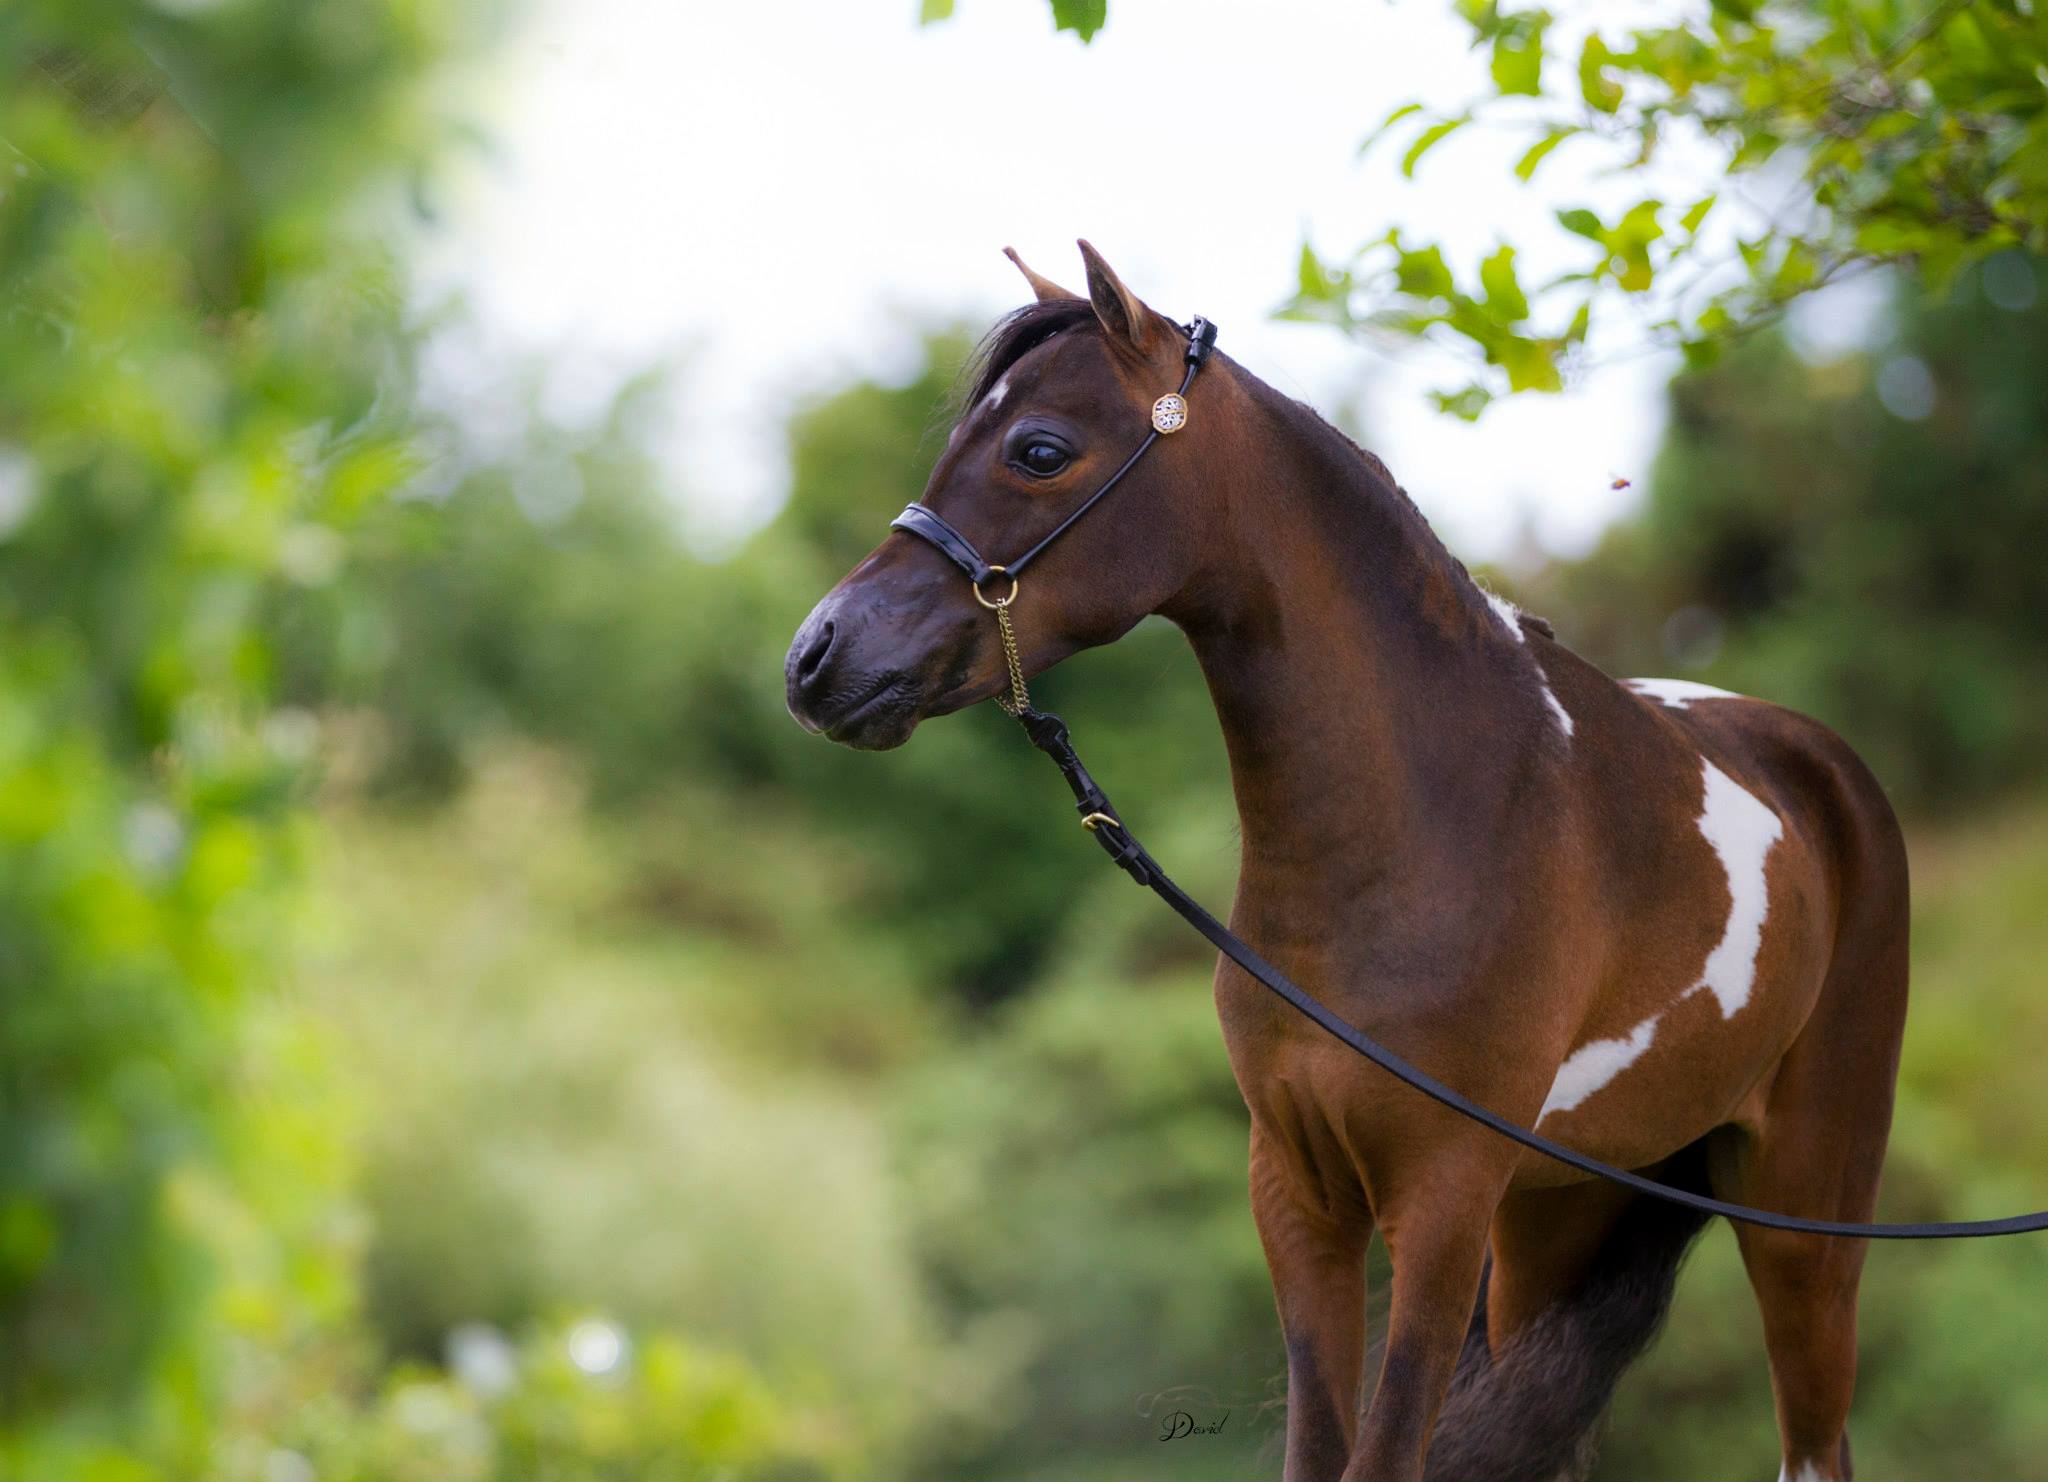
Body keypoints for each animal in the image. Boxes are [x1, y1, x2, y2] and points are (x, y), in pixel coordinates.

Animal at [783, 241, 1908, 1482]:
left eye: (1037, 449)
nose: (816, 658)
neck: (1425, 832)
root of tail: (1816, 763)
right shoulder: (1300, 1195)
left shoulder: (1437, 1204)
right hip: (1553, 1221)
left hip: (1805, 1221)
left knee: (1814, 1440)